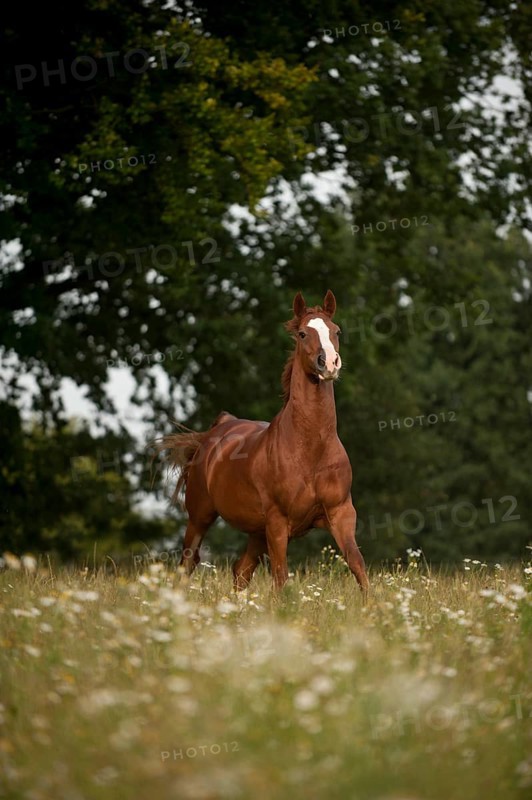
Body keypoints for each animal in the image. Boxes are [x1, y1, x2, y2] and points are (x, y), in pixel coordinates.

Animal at [156, 290, 369, 594]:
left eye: (336, 331)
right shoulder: (278, 522)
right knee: (189, 562)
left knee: (241, 570)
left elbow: (357, 565)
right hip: (200, 516)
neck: (311, 450)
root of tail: (217, 430)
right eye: (303, 333)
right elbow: (281, 576)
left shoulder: (341, 513)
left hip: (256, 532)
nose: (328, 363)